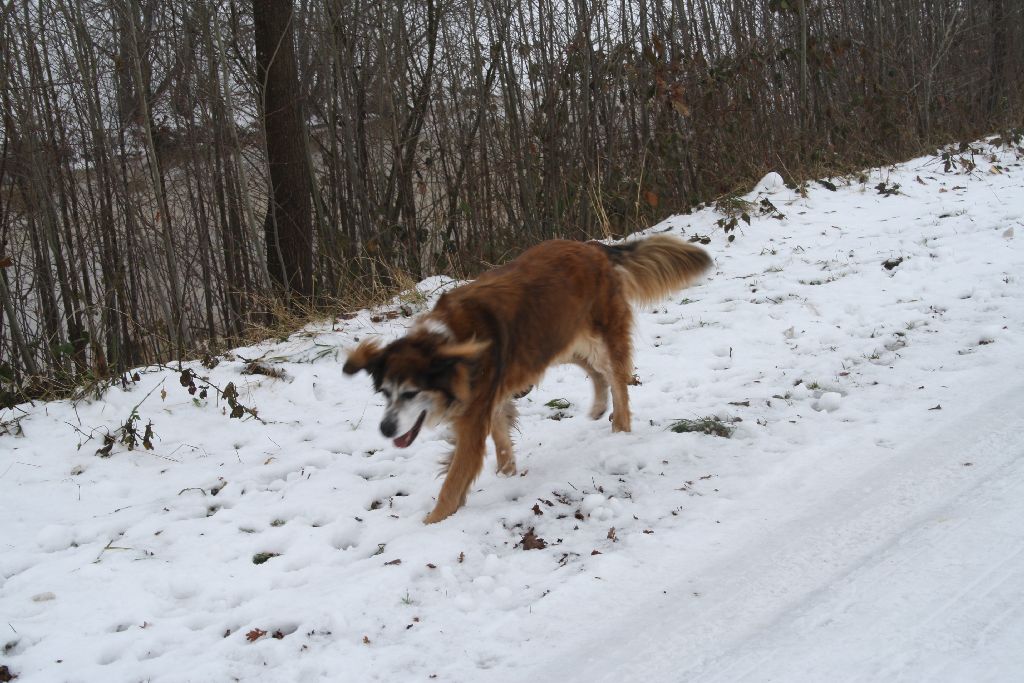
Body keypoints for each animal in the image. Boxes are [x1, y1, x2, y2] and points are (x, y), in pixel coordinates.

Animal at [343, 235, 712, 523]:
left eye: (410, 393)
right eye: (385, 392)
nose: (385, 429)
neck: (448, 345)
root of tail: (593, 247)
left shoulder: (472, 422)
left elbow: (453, 482)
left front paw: (432, 523)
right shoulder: (489, 399)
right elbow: (501, 438)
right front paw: (507, 474)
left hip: (598, 333)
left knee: (618, 376)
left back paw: (620, 425)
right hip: (559, 337)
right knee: (597, 372)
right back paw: (597, 407)